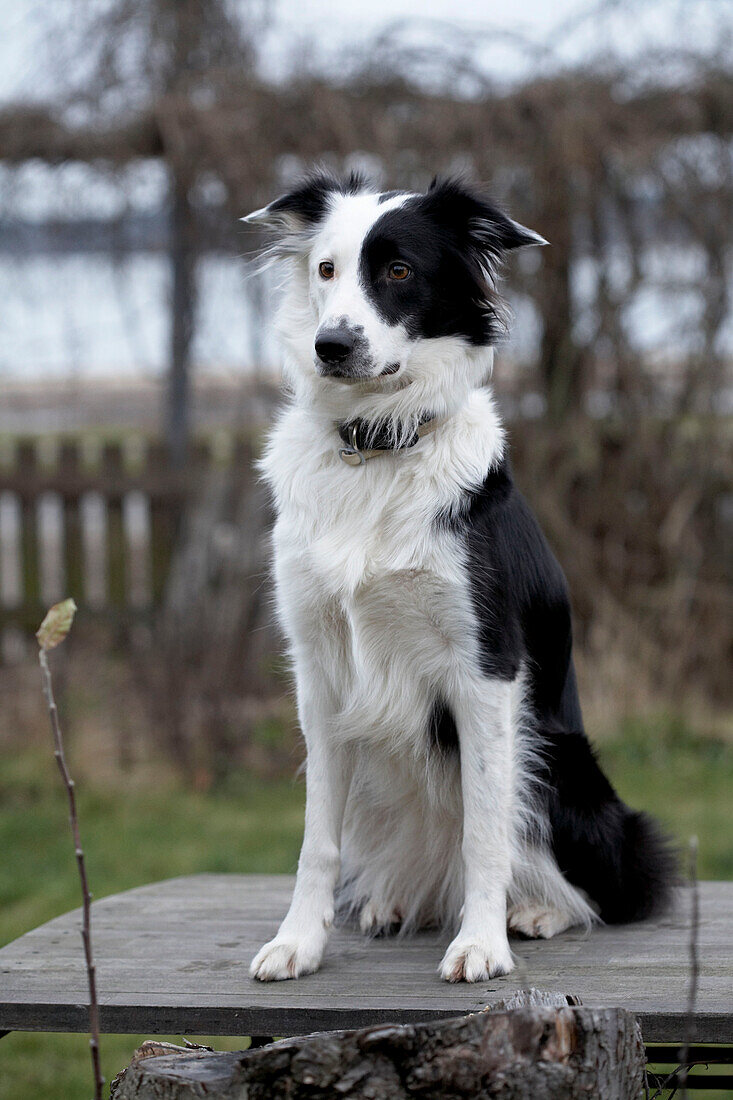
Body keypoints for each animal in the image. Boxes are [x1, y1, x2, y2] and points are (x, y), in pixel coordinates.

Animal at [241, 173, 673, 990]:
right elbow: (317, 840)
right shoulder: (321, 675)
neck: (377, 448)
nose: (330, 345)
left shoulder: (485, 670)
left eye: (398, 270)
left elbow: (484, 831)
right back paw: (394, 902)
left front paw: (480, 946)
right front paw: (297, 943)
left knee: (603, 890)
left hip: (557, 764)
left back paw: (532, 913)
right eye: (325, 269)